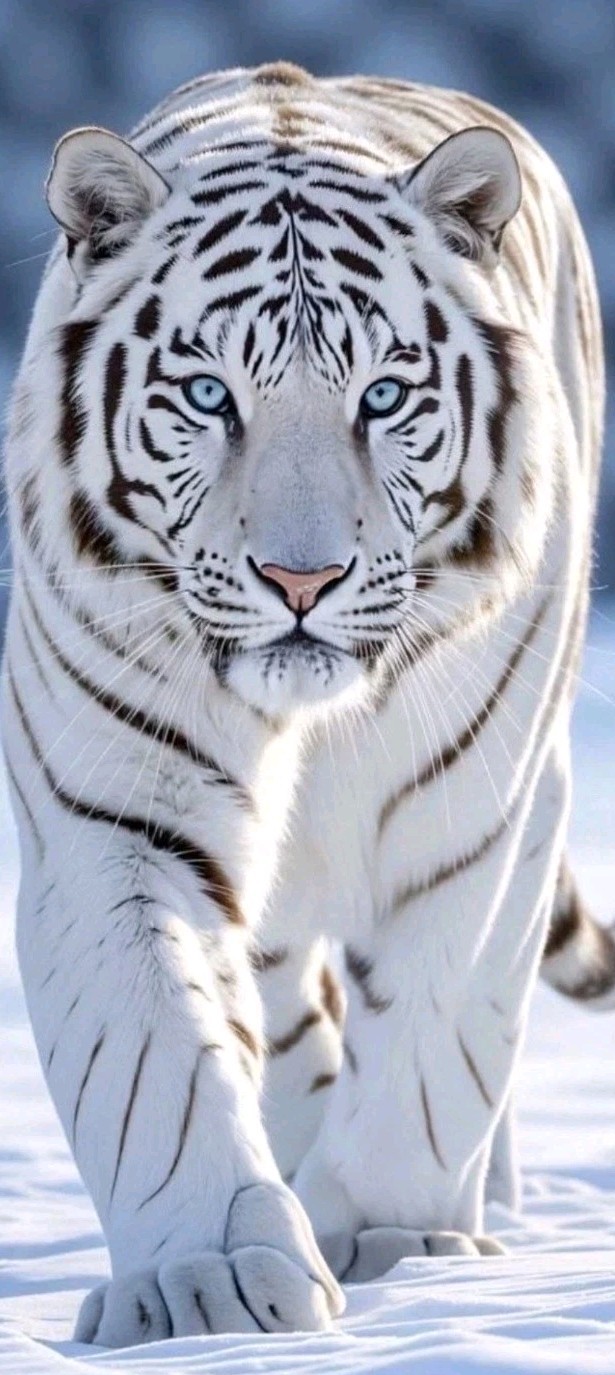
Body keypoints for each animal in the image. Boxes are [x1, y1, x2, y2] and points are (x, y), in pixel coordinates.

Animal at [3, 60, 613, 1348]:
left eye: (382, 396)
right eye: (206, 393)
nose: (301, 579)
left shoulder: (477, 817)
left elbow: (435, 1038)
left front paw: (397, 1242)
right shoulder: (115, 821)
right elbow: (155, 1064)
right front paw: (209, 1284)